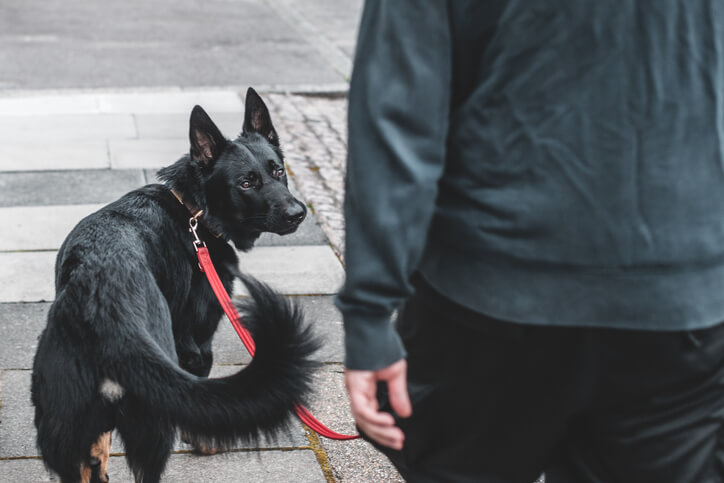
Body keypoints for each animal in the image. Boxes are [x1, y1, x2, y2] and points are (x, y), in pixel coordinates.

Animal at [31, 89, 320, 482]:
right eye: (246, 183)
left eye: (278, 171)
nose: (298, 213)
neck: (193, 210)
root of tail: (102, 303)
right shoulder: (197, 344)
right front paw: (205, 442)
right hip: (153, 417)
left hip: (65, 422)